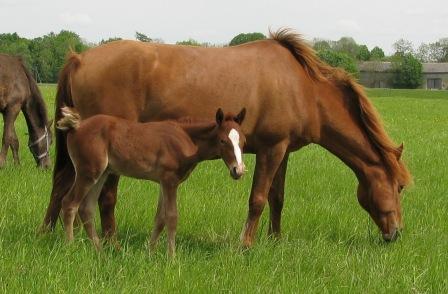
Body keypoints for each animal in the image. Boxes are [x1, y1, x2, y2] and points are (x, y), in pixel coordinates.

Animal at [57, 107, 247, 256]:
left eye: (243, 141)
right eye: (223, 140)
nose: (238, 170)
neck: (186, 138)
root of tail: (78, 126)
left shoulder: (164, 182)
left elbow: (160, 219)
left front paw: (150, 253)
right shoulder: (170, 181)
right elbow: (172, 217)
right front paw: (172, 257)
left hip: (101, 174)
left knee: (86, 208)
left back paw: (100, 252)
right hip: (88, 173)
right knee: (69, 203)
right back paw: (70, 247)